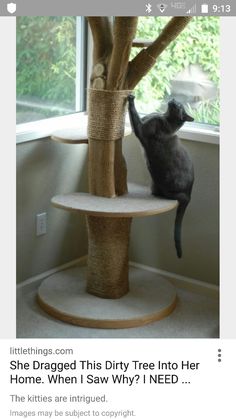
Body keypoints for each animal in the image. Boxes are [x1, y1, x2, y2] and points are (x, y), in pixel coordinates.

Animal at [128, 95, 195, 260]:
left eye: (179, 105)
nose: (174, 99)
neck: (162, 115)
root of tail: (190, 194)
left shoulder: (140, 130)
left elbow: (133, 114)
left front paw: (131, 97)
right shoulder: (143, 122)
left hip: (163, 185)